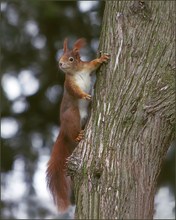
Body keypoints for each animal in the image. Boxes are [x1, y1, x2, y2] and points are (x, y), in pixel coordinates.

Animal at [46, 38, 110, 212]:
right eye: (61, 56)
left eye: (71, 59)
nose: (60, 64)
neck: (75, 72)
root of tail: (63, 128)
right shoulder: (69, 85)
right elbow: (76, 92)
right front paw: (85, 95)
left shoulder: (87, 68)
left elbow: (93, 64)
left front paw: (101, 59)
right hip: (73, 115)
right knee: (73, 133)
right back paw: (79, 135)